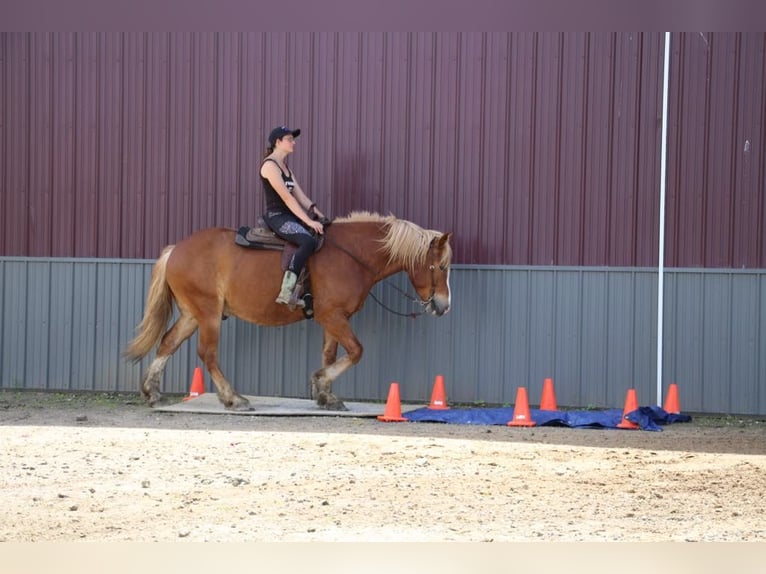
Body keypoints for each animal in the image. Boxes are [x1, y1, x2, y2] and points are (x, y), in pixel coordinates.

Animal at [123, 211, 453, 411]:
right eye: (440, 266)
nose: (444, 305)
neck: (351, 256)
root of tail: (175, 250)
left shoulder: (334, 318)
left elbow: (332, 354)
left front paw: (325, 394)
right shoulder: (332, 316)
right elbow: (357, 351)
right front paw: (320, 382)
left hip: (193, 314)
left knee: (168, 342)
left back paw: (152, 392)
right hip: (208, 313)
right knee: (208, 353)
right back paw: (233, 398)